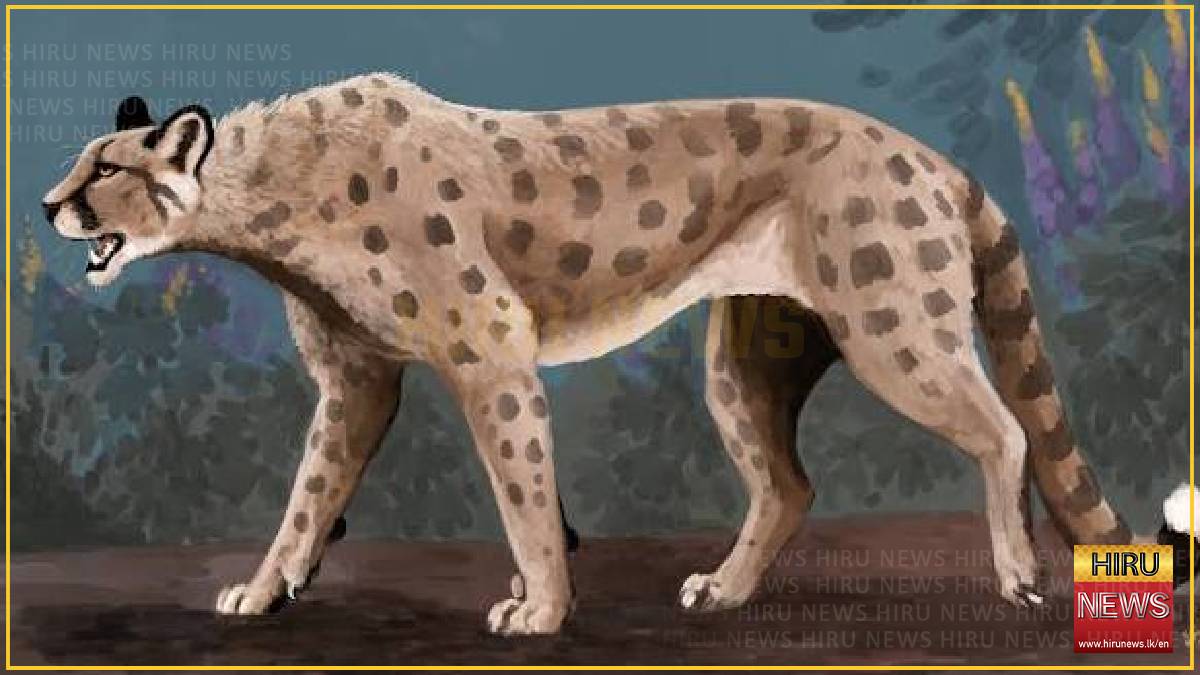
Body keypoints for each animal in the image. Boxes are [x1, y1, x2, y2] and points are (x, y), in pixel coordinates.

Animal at [43, 73, 1195, 635]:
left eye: (107, 167)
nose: (50, 202)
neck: (273, 194)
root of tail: (927, 154)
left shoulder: (490, 350)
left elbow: (518, 493)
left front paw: (540, 609)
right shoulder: (358, 376)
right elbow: (308, 493)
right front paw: (263, 587)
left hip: (895, 328)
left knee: (1002, 432)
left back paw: (1019, 576)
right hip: (746, 362)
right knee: (787, 483)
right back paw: (724, 592)